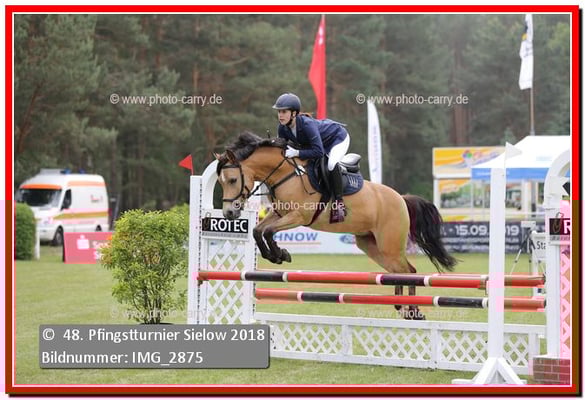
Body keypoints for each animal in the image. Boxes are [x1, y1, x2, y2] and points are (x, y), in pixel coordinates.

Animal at [214, 131, 457, 320]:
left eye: (233, 180)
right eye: (220, 182)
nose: (228, 213)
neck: (286, 174)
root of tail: (401, 198)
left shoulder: (299, 216)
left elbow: (268, 231)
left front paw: (280, 254)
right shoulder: (280, 213)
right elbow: (258, 230)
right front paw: (277, 254)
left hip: (389, 244)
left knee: (410, 271)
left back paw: (413, 309)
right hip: (371, 245)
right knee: (398, 271)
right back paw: (402, 307)